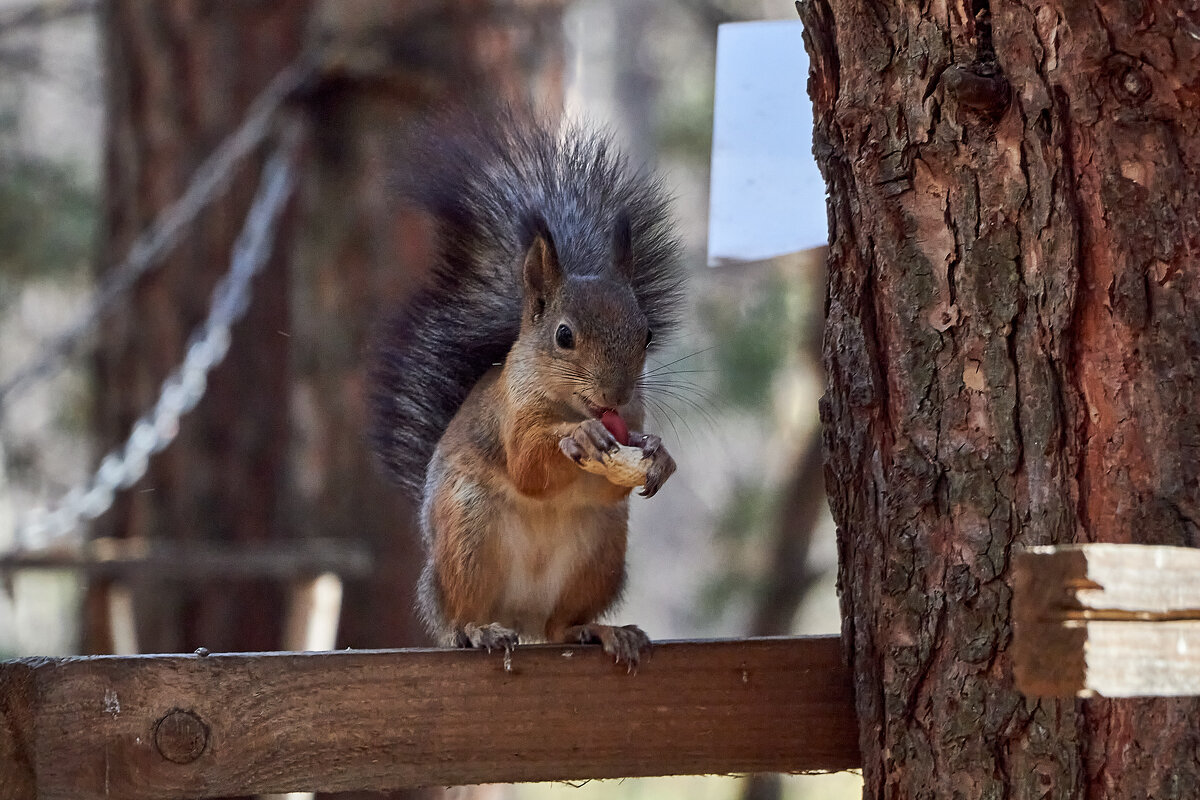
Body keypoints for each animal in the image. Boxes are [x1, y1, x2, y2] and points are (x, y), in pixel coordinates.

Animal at [369, 109, 681, 666]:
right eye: (564, 336)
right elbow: (528, 465)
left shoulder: (632, 419)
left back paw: (601, 631)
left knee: (560, 627)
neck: (569, 404)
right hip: (468, 540)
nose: (616, 395)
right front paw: (578, 438)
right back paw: (479, 631)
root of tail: (520, 615)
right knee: (462, 618)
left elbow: (614, 476)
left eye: (646, 334)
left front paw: (658, 455)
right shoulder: (511, 415)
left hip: (601, 551)